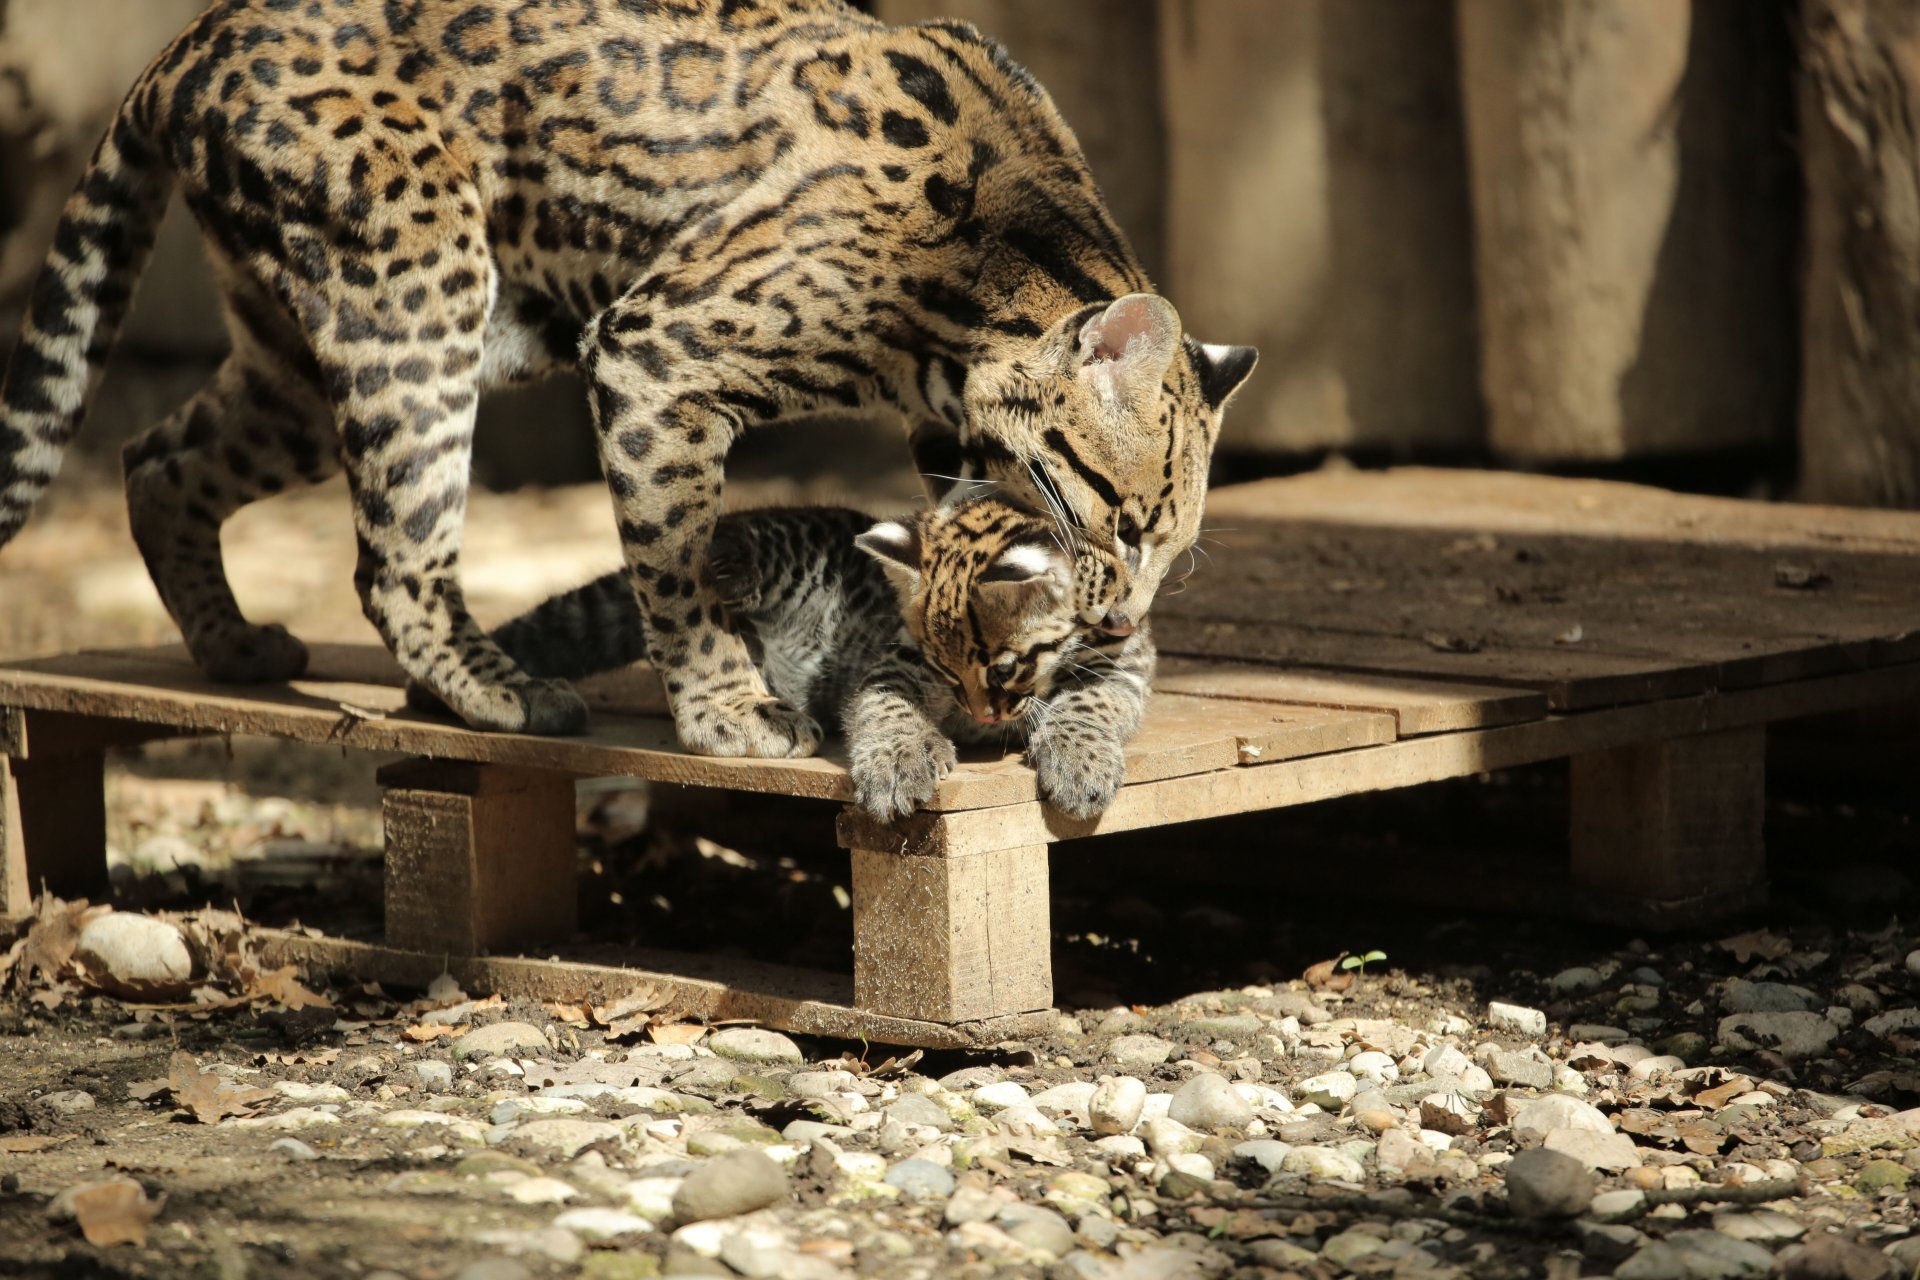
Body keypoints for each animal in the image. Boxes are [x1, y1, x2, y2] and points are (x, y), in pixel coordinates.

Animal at [0, 0, 1251, 759]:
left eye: (1170, 547)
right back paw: (500, 691)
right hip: (415, 291)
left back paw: (232, 647)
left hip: (298, 360)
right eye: (1124, 523)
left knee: (157, 458)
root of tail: (193, 38)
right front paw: (727, 711)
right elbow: (678, 560)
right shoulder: (657, 352)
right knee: (394, 556)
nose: (1116, 620)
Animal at [474, 498, 1152, 821]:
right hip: (776, 547)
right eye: (941, 668)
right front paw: (900, 762)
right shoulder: (895, 661)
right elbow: (888, 705)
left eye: (1002, 669)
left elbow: (1092, 701)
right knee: (714, 553)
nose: (983, 716)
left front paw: (1078, 759)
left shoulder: (1127, 659)